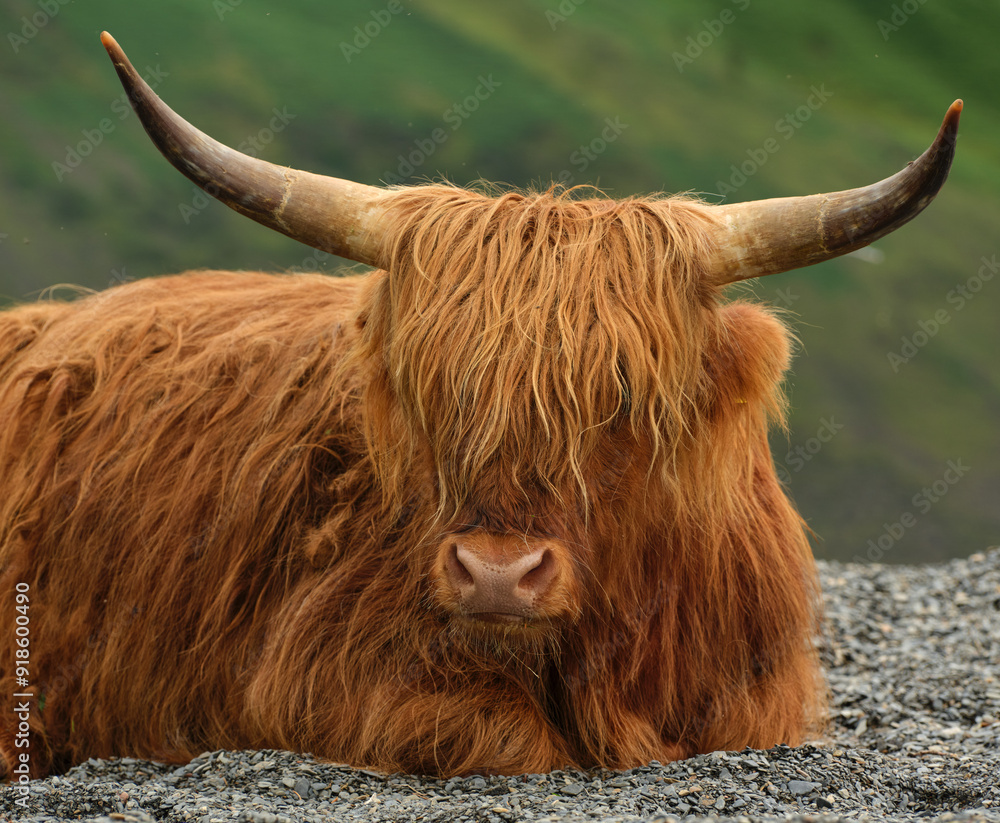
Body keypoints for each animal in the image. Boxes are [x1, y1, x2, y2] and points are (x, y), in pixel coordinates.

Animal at [0, 32, 960, 779]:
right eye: (435, 390)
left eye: (622, 396)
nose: (497, 573)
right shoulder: (315, 673)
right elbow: (507, 739)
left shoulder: (756, 700)